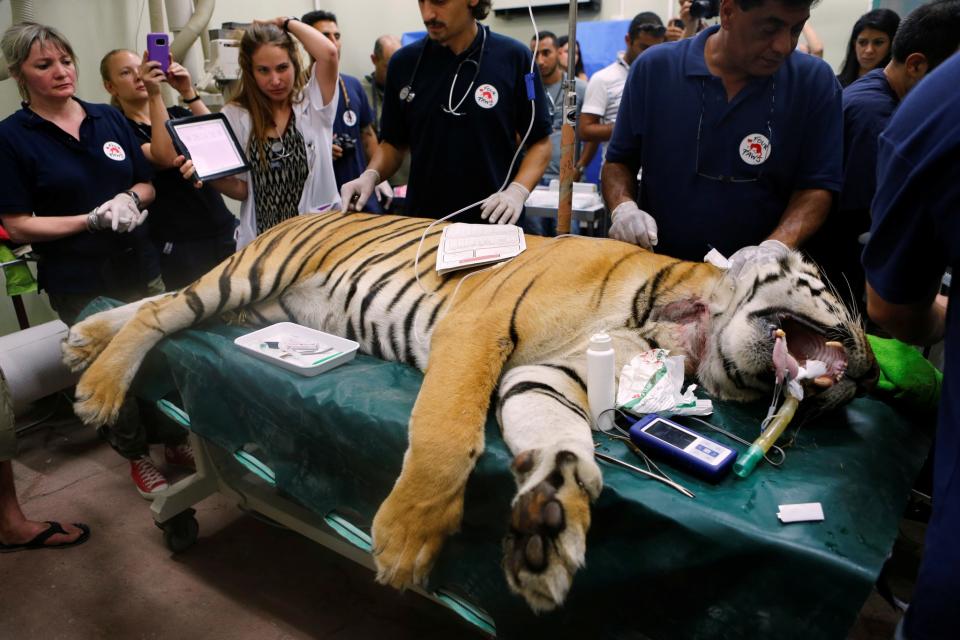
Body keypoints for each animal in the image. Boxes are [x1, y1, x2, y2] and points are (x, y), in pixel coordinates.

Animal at [62, 212, 876, 612]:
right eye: (839, 301)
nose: (867, 377)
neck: (683, 326)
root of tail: (296, 209)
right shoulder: (480, 327)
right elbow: (446, 432)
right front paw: (405, 540)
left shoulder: (546, 378)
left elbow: (565, 449)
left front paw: (548, 525)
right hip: (251, 275)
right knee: (162, 309)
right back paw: (98, 387)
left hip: (251, 304)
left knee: (163, 302)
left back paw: (81, 340)